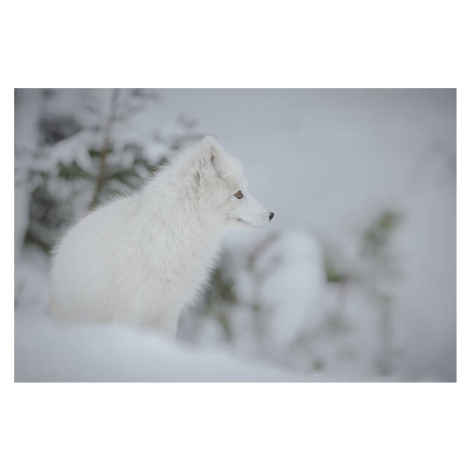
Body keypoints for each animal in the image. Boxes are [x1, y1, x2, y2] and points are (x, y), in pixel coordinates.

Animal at [50, 136, 274, 338]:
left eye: (244, 191)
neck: (173, 233)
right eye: (238, 194)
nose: (271, 214)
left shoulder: (168, 311)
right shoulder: (130, 310)